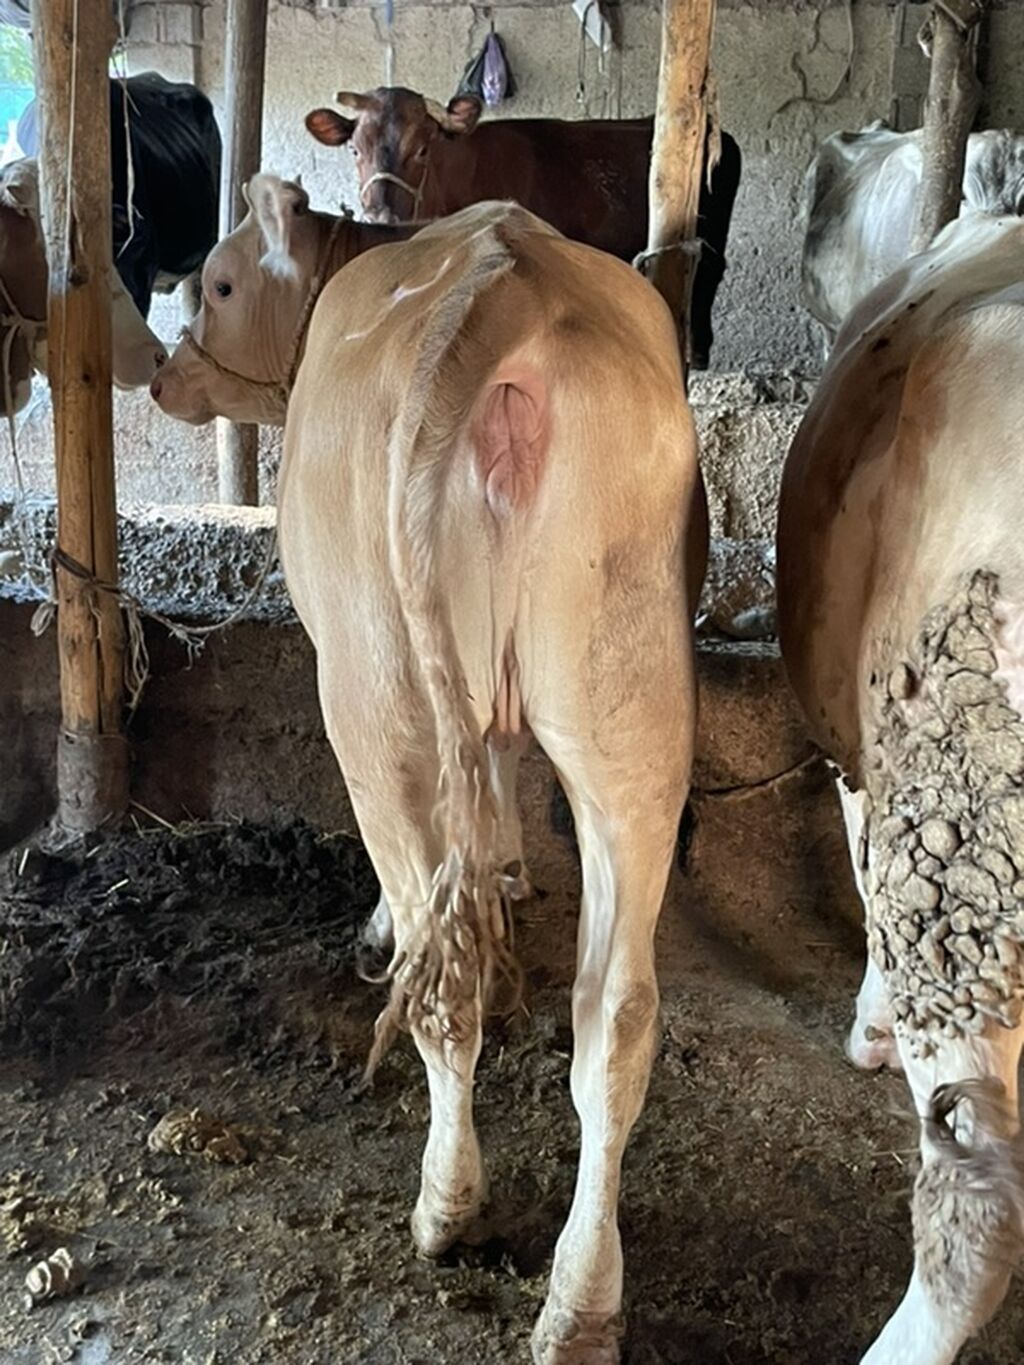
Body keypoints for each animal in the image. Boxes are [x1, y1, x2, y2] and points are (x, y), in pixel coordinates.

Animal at [155, 174, 706, 1363]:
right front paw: (506, 874)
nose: (164, 374)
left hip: (375, 695)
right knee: (618, 1013)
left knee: (436, 975)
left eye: (217, 283)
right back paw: (582, 1303)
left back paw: (447, 1208)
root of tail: (500, 285)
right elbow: (489, 784)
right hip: (631, 710)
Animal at [304, 87, 742, 370]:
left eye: (422, 149)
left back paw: (698, 355)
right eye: (354, 149)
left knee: (708, 276)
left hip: (712, 237)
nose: (381, 217)